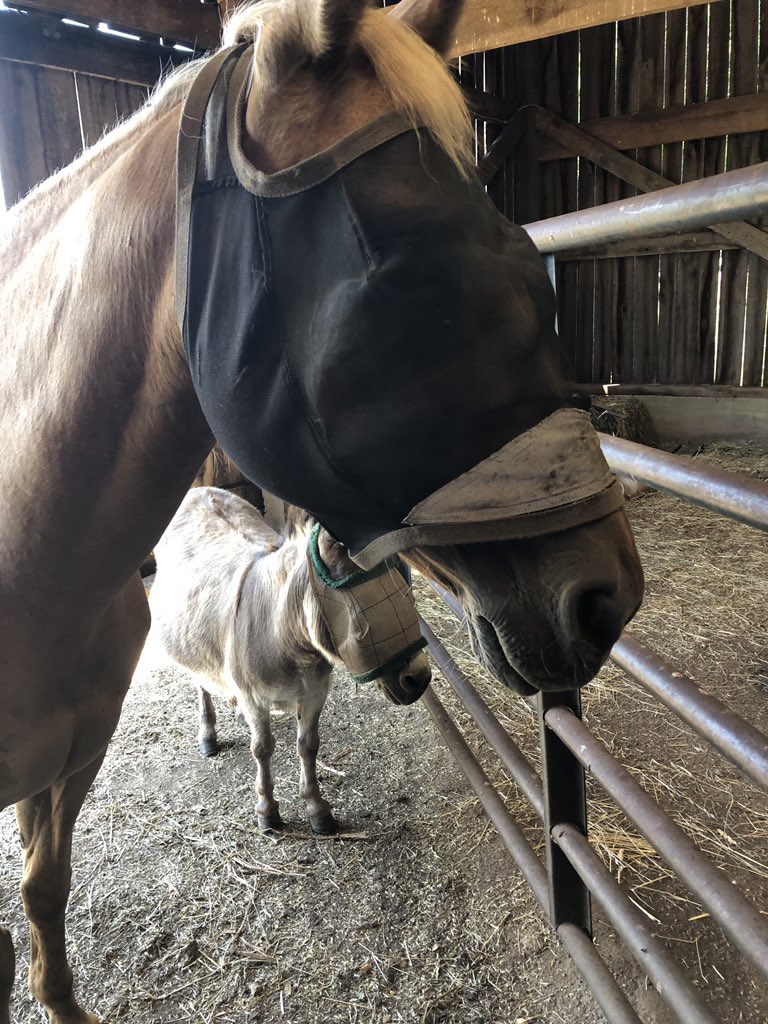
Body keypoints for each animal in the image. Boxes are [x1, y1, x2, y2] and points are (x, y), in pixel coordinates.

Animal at [150, 488, 431, 835]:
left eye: (405, 588)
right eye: (359, 613)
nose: (419, 678)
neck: (285, 634)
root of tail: (198, 490)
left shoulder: (315, 691)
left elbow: (308, 745)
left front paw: (317, 809)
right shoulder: (255, 698)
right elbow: (262, 749)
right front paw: (268, 811)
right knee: (201, 684)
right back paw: (208, 737)